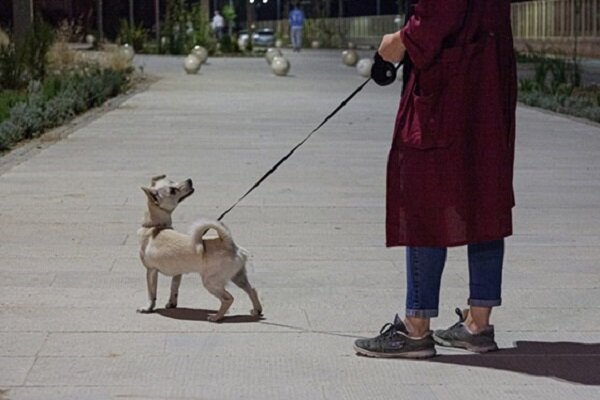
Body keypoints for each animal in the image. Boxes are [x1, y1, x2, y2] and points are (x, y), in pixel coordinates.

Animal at [139, 175, 264, 322]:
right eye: (172, 190)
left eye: (172, 186)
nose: (189, 180)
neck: (155, 227)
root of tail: (227, 242)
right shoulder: (177, 273)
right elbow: (174, 288)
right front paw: (171, 303)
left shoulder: (151, 271)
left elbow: (151, 293)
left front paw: (148, 308)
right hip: (238, 277)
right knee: (252, 290)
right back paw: (257, 310)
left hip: (210, 281)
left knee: (228, 299)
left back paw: (216, 317)